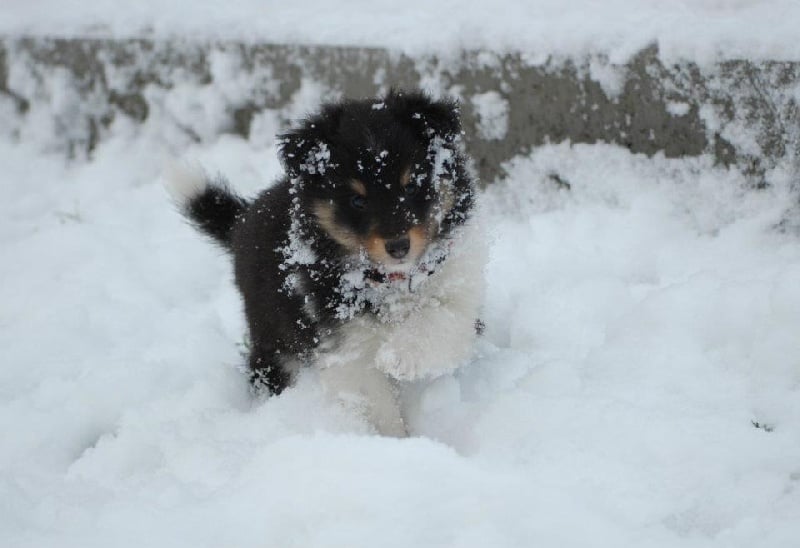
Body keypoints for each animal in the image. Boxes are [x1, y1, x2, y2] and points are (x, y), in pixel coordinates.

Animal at [166, 90, 484, 434]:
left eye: (411, 185)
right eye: (357, 200)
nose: (398, 246)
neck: (389, 281)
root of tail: (243, 219)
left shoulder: (458, 288)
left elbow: (441, 317)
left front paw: (399, 356)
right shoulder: (344, 344)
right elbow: (376, 403)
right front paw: (391, 440)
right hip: (272, 338)